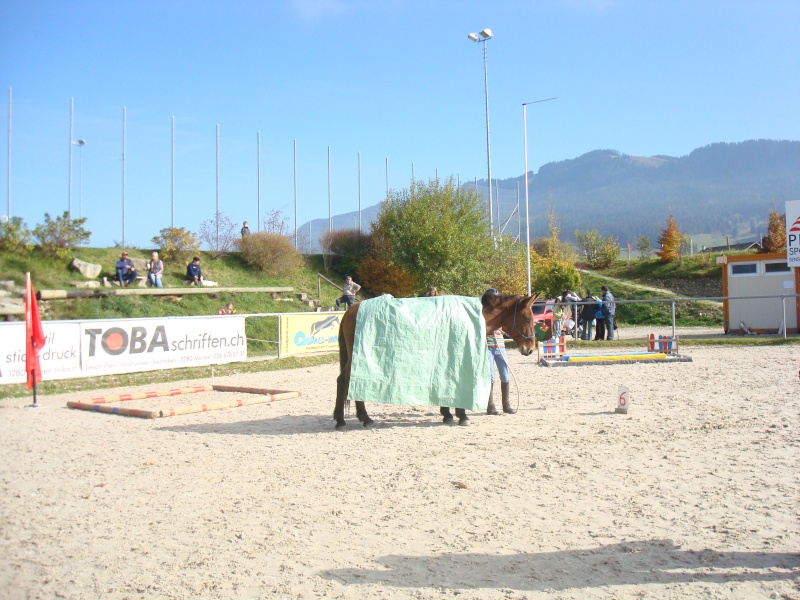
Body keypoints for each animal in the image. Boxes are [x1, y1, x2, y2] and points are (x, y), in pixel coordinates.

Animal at [334, 292, 540, 428]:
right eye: (527, 319)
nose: (530, 348)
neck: (473, 317)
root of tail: (353, 309)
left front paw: (448, 414)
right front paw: (461, 415)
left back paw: (363, 418)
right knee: (343, 381)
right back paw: (343, 420)